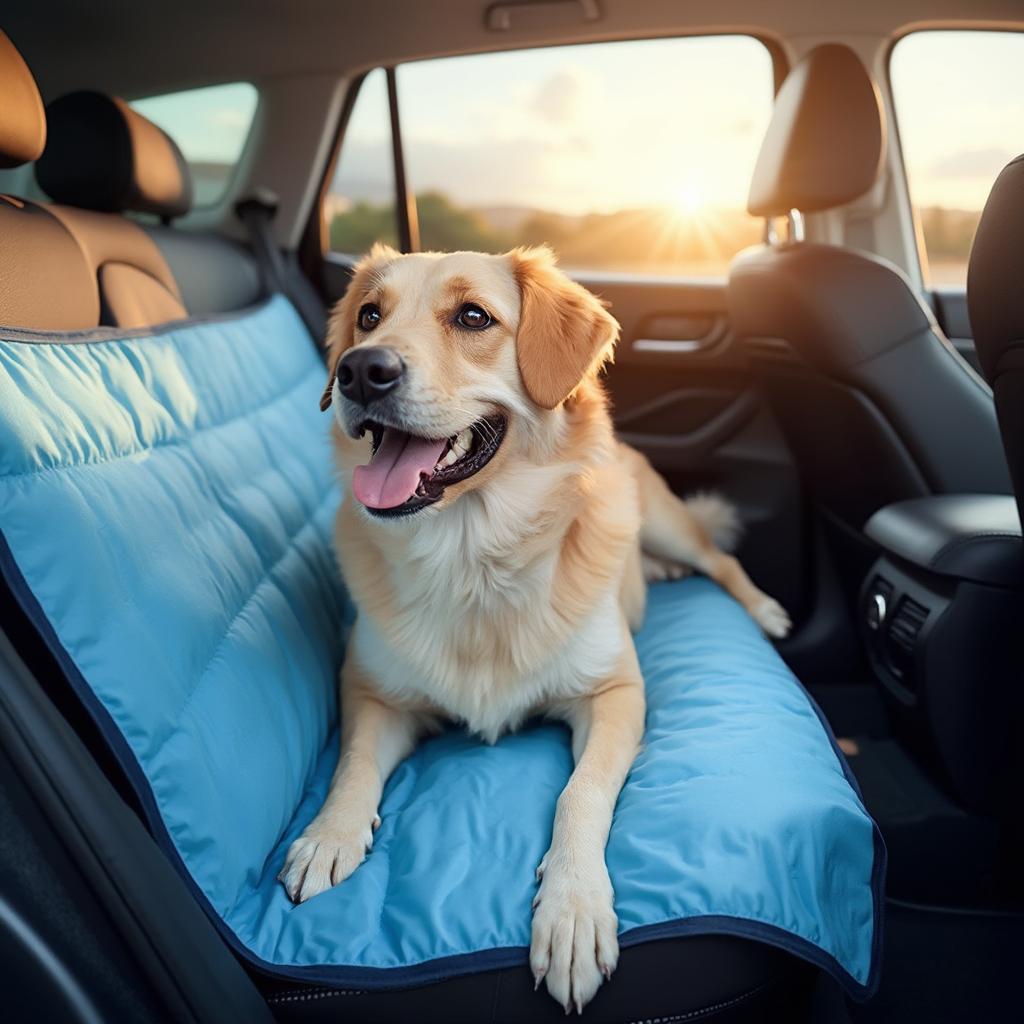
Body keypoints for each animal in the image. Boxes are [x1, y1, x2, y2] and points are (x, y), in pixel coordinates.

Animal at [280, 243, 790, 1011]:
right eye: (369, 316)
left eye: (473, 317)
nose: (360, 370)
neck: (473, 559)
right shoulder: (373, 693)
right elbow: (354, 765)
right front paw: (328, 836)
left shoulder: (615, 696)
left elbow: (580, 796)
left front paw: (574, 908)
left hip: (668, 522)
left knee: (721, 559)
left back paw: (759, 607)